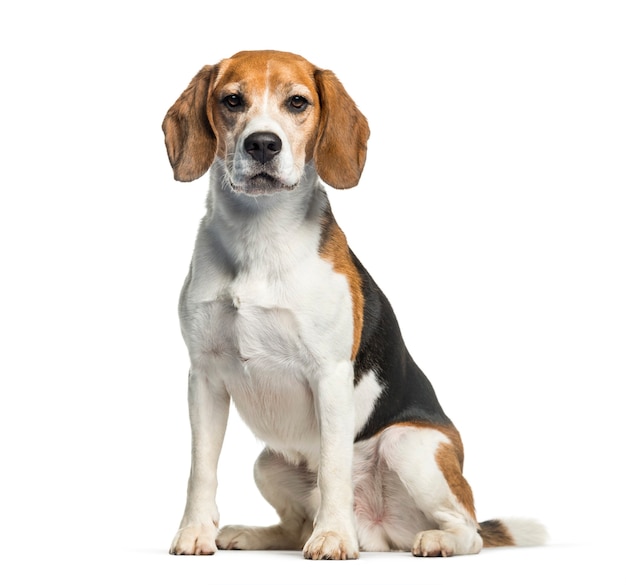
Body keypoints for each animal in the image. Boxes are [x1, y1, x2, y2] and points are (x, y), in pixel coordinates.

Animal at [162, 49, 544, 556]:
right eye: (232, 100)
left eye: (297, 102)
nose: (262, 144)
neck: (259, 235)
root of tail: (380, 530)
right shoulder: (204, 375)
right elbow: (201, 468)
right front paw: (194, 532)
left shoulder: (330, 375)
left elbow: (333, 468)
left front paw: (332, 537)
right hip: (268, 462)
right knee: (294, 524)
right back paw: (251, 534)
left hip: (409, 445)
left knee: (470, 530)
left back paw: (433, 540)